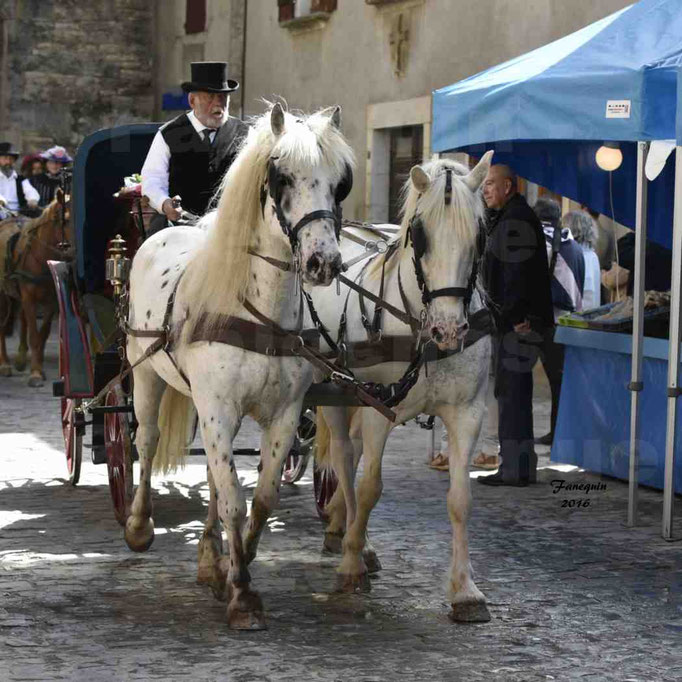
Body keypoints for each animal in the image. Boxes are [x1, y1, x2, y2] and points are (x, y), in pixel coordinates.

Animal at [0, 189, 72, 386]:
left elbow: (43, 334)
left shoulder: (52, 301)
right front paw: (35, 374)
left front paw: (37, 366)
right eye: (66, 220)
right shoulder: (29, 298)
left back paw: (19, 359)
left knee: (21, 319)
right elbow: (34, 335)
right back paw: (5, 364)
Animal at [124, 103, 354, 628]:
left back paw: (211, 560)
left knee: (211, 474)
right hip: (145, 374)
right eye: (282, 178)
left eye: (339, 184)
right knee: (146, 441)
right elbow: (232, 497)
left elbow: (260, 498)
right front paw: (243, 592)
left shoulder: (283, 415)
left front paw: (237, 563)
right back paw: (139, 524)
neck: (257, 311)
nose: (323, 263)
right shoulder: (218, 408)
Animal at [310, 153, 494, 620]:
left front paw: (465, 590)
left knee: (352, 455)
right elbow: (370, 487)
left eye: (480, 233)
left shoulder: (467, 414)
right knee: (345, 458)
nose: (449, 330)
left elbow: (461, 499)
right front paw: (352, 565)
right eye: (420, 234)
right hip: (334, 390)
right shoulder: (378, 408)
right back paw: (352, 541)